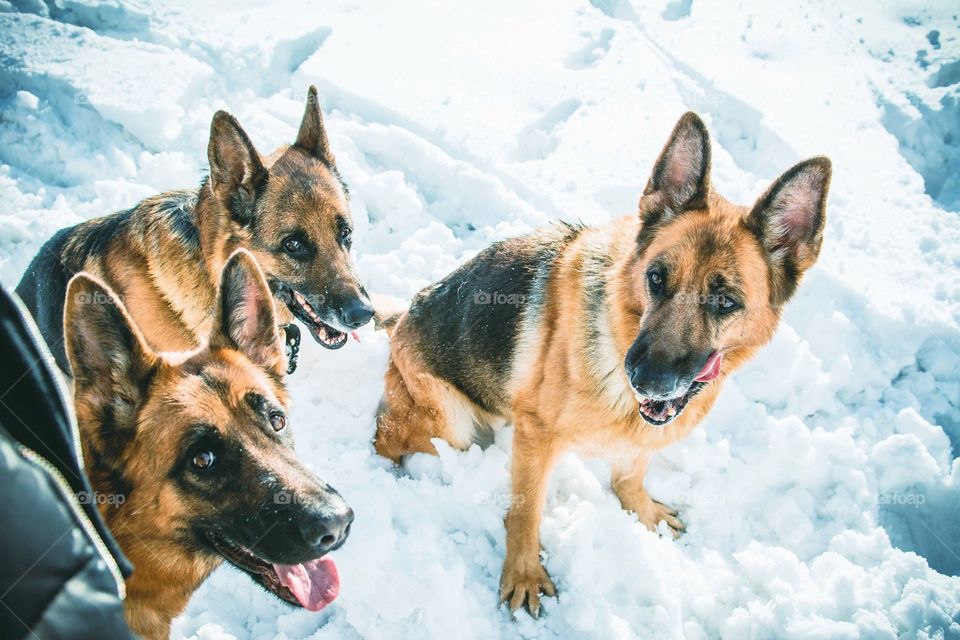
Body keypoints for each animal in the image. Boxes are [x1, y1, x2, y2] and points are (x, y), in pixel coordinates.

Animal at [372, 112, 828, 616]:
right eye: (656, 278)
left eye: (725, 301)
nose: (647, 380)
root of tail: (401, 318)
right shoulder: (537, 434)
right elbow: (526, 509)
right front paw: (524, 574)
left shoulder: (640, 436)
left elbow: (631, 472)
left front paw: (643, 512)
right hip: (447, 419)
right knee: (391, 437)